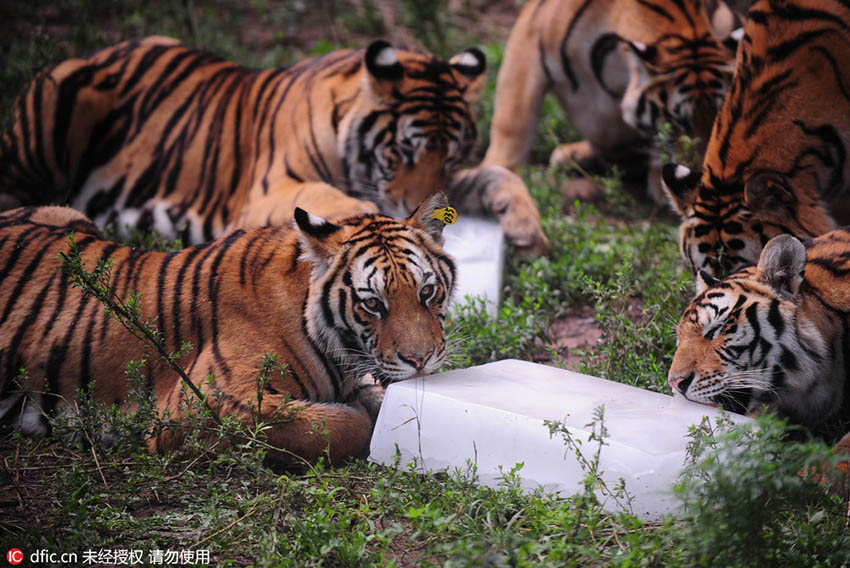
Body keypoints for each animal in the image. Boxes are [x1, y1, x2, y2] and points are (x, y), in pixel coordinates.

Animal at [0, 36, 548, 254]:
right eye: (404, 151)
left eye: (451, 155)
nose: (416, 205)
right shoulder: (274, 187)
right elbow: (336, 200)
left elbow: (497, 173)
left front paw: (527, 229)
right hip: (57, 94)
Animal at [476, 0, 736, 203]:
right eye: (678, 124)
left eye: (721, 121)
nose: (703, 180)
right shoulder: (530, 36)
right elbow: (513, 119)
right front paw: (496, 172)